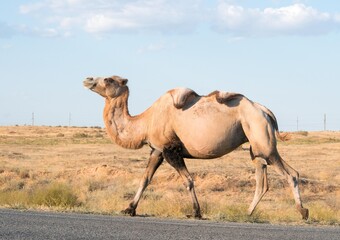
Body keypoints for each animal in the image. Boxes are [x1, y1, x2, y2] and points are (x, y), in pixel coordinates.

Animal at [82, 74, 308, 219]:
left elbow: (188, 181)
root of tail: (265, 111)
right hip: (256, 145)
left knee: (290, 174)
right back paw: (248, 213)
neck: (144, 122)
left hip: (262, 139)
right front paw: (129, 209)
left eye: (108, 79)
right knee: (263, 179)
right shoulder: (157, 150)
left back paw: (303, 212)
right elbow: (145, 179)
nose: (87, 79)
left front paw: (197, 212)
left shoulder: (170, 149)